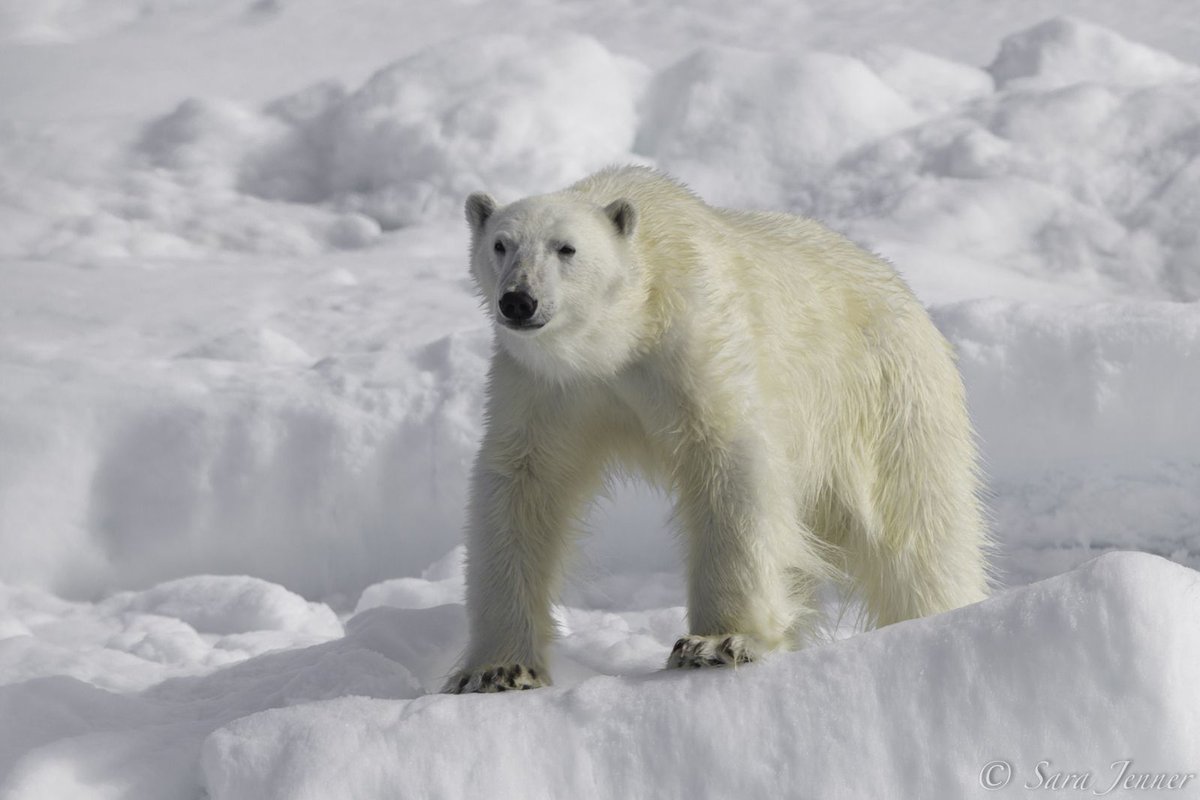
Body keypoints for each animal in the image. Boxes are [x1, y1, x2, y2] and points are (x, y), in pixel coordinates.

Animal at [444, 165, 990, 693]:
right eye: (501, 244)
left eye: (566, 248)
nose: (519, 300)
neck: (621, 333)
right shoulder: (545, 387)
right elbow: (522, 484)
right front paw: (496, 670)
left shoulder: (695, 340)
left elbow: (729, 463)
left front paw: (716, 643)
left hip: (886, 401)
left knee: (919, 533)